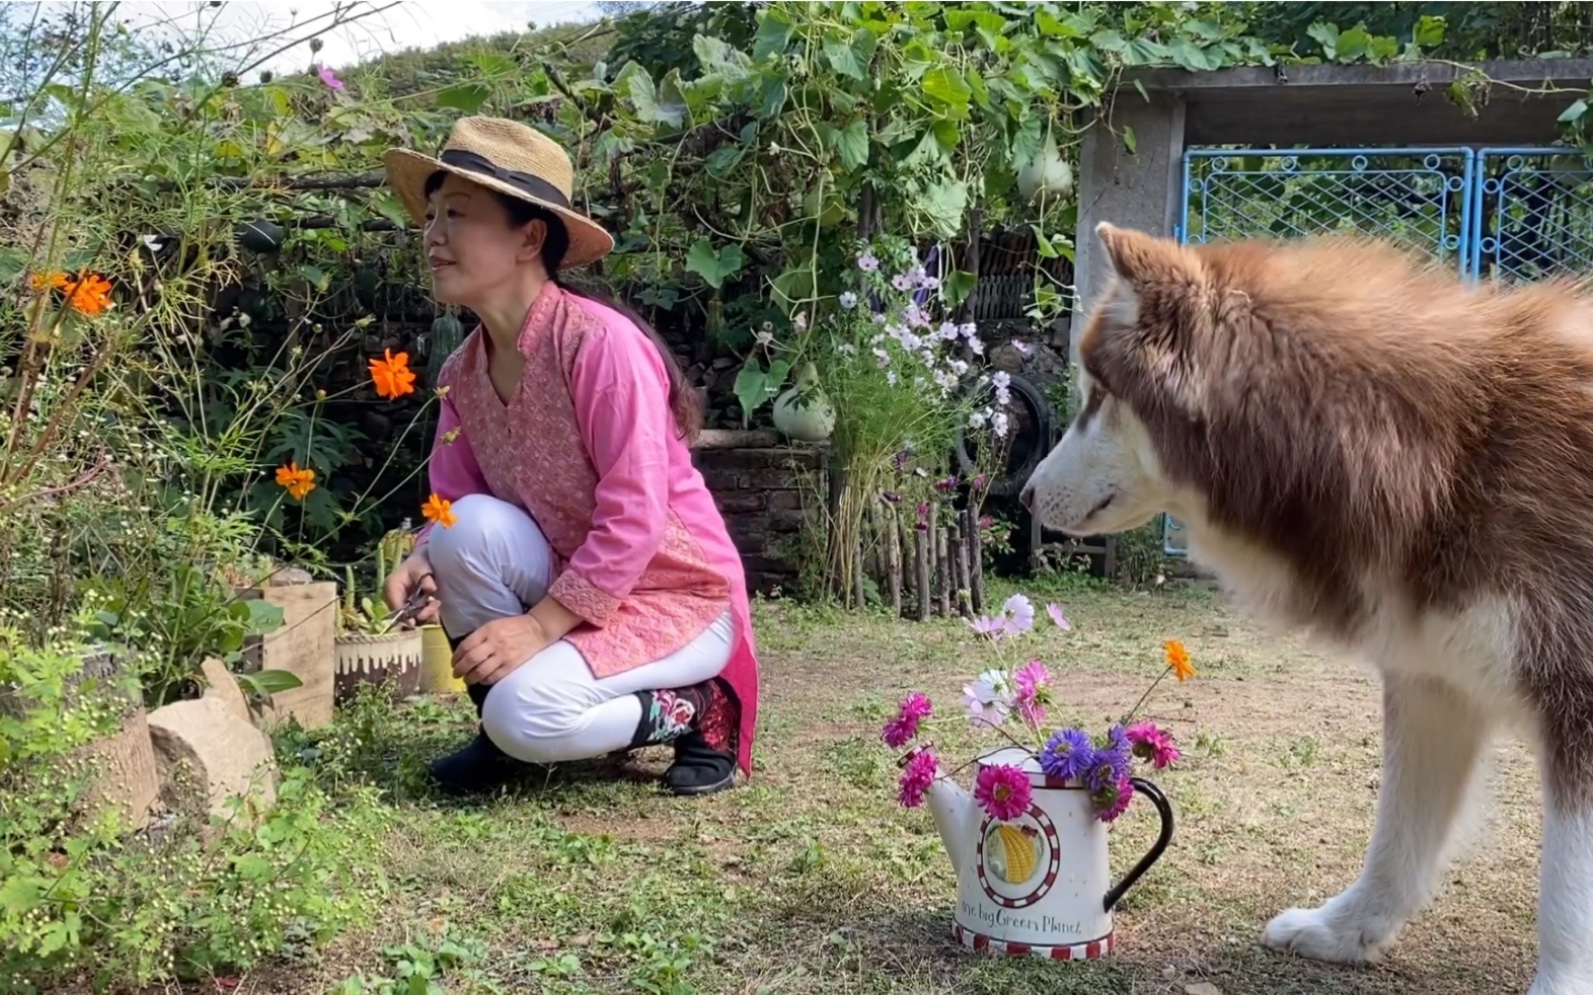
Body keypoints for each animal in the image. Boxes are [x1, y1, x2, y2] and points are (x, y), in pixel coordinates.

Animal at [1019, 221, 1593, 987]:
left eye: (1097, 395)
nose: (1024, 495)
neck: (1458, 447)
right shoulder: (1434, 683)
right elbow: (1397, 839)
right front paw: (1347, 931)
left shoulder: (1576, 701)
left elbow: (1565, 892)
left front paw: (1560, 983)